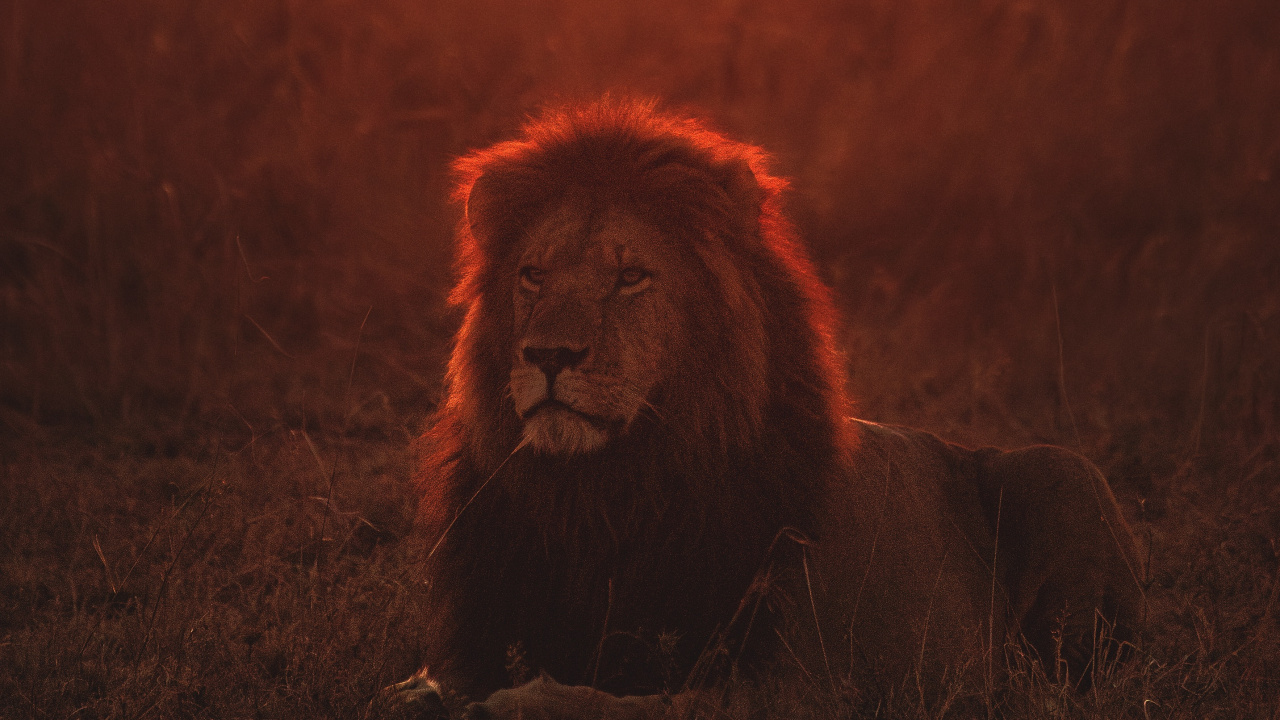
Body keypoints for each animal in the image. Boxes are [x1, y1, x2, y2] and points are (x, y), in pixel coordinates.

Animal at [391, 99, 1144, 719]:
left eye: (630, 277)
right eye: (533, 275)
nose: (548, 354)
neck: (601, 495)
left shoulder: (796, 684)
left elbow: (636, 706)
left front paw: (522, 701)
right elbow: (432, 683)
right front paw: (431, 695)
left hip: (1063, 473)